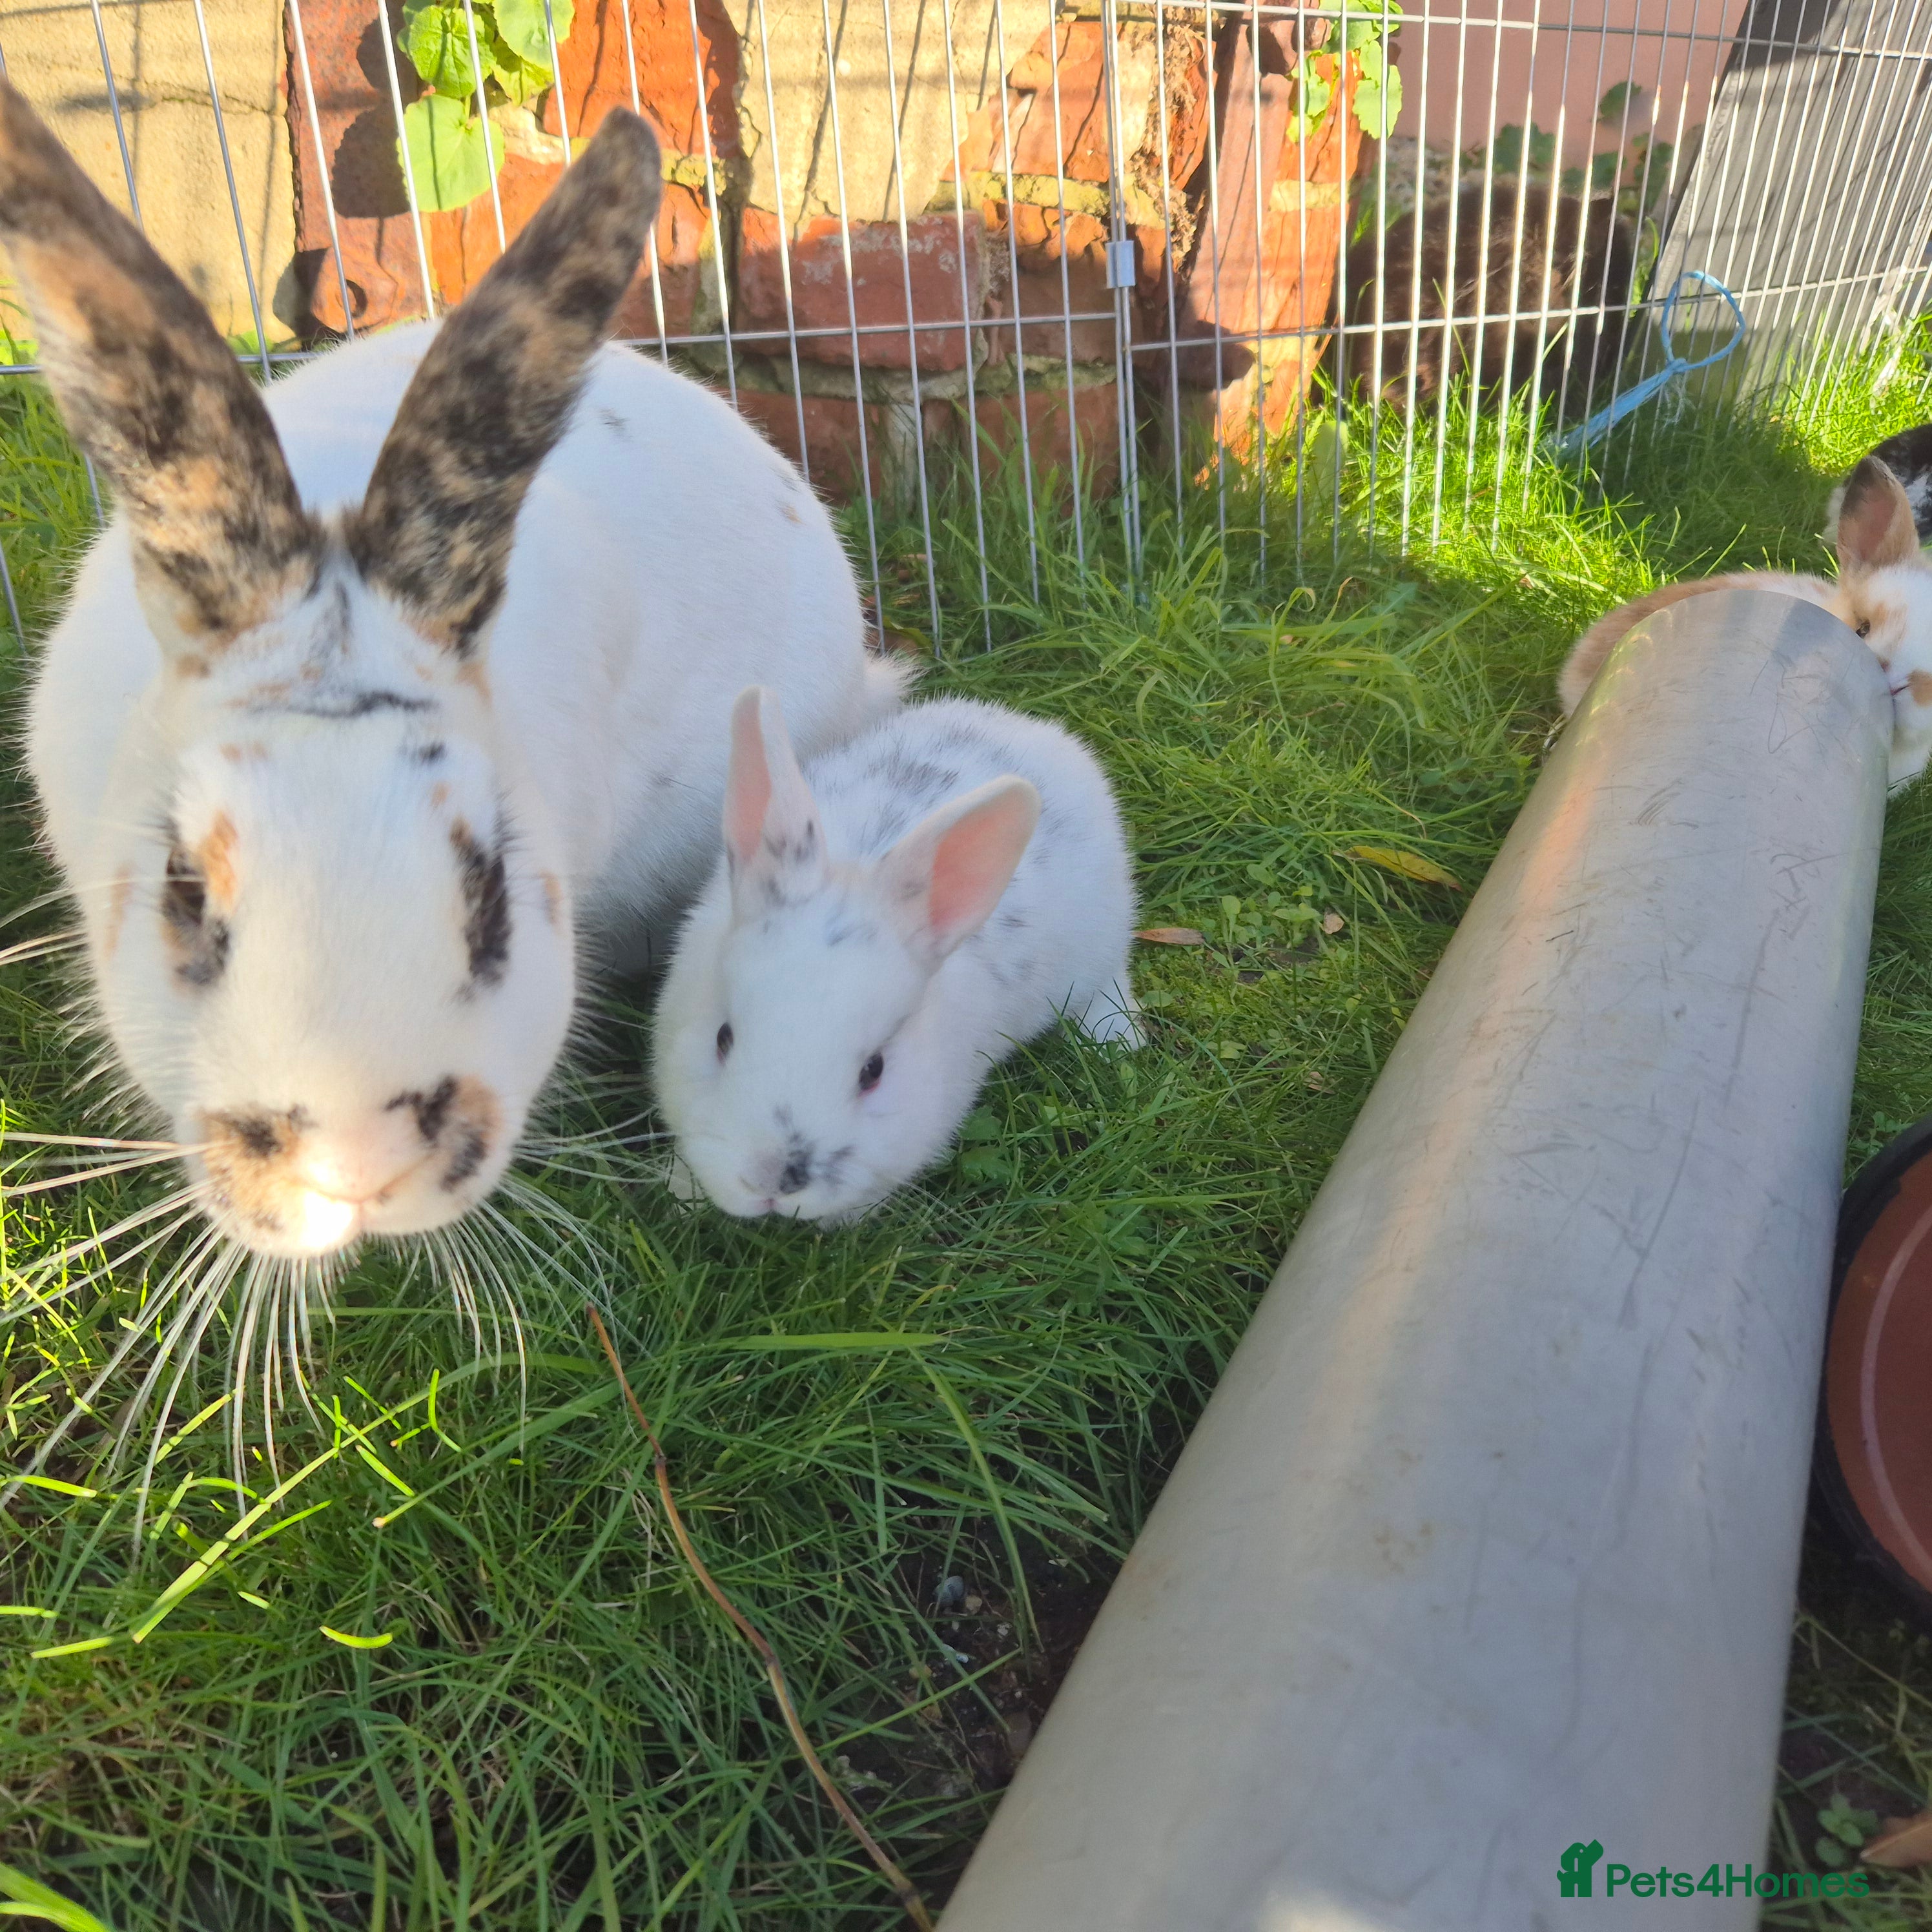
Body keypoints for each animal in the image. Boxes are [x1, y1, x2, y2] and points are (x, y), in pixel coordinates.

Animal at [652, 686, 1142, 1223]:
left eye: (875, 1070)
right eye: (722, 1038)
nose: (771, 1181)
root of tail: (1029, 728)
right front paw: (682, 1194)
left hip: (1101, 940)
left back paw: (1118, 1039)